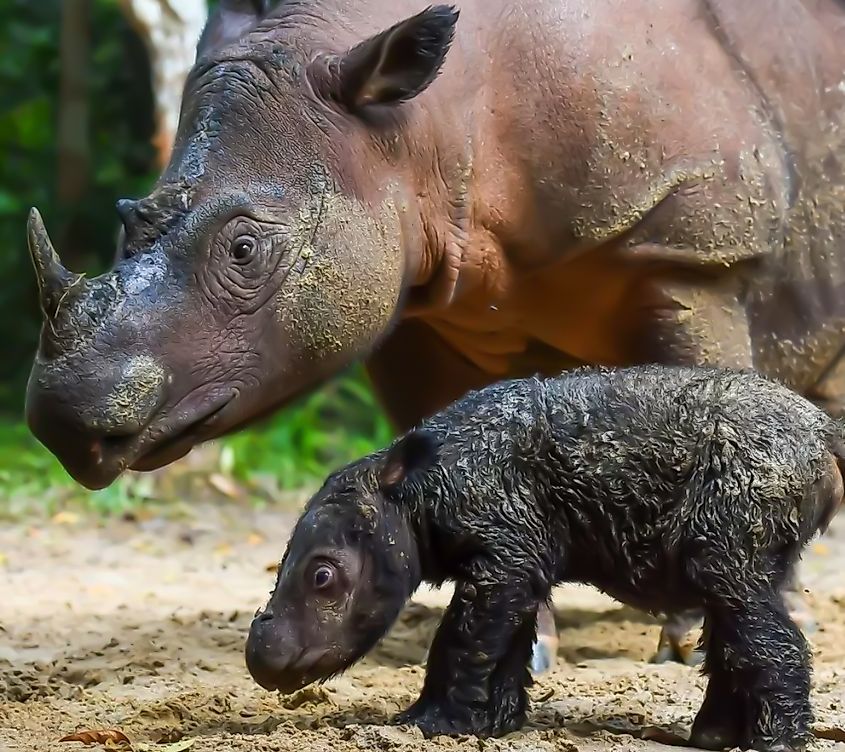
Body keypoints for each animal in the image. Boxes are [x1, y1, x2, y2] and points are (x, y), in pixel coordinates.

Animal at [24, 0, 845, 674]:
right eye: (126, 218)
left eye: (244, 250)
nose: (61, 420)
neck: (419, 131)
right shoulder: (411, 298)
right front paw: (523, 643)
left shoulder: (691, 251)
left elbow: (712, 406)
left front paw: (688, 645)